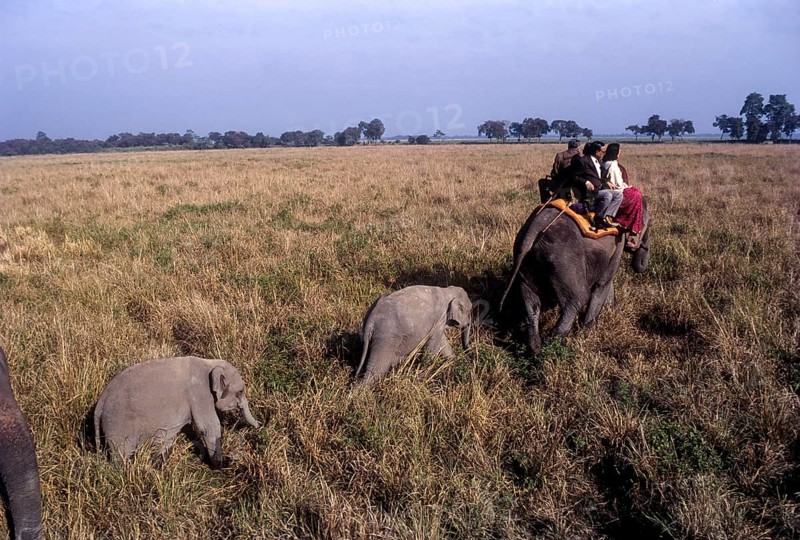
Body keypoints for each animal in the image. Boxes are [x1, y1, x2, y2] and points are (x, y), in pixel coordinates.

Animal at [94, 356, 260, 469]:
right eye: (240, 392)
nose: (260, 425)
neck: (210, 363)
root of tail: (100, 403)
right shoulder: (199, 393)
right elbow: (209, 427)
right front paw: (221, 466)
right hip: (117, 424)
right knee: (122, 455)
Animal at [499, 200, 651, 354]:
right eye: (649, 224)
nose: (642, 246)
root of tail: (534, 228)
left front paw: (611, 311)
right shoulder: (617, 245)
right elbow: (603, 284)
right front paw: (587, 335)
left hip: (527, 260)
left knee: (531, 300)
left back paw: (535, 351)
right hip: (564, 259)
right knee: (578, 298)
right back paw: (558, 349)